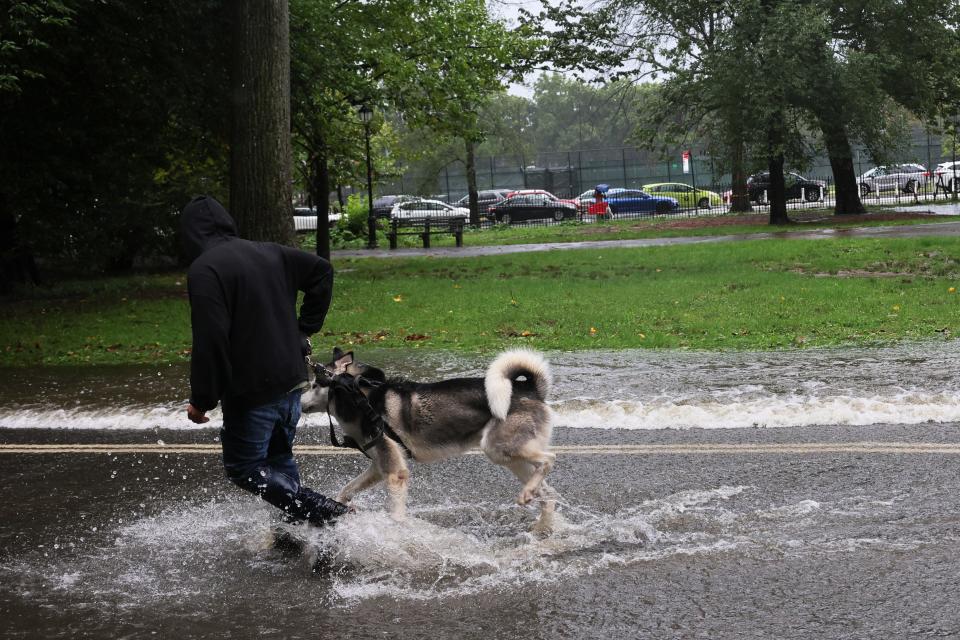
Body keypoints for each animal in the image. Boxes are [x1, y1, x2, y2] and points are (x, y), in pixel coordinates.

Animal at [300, 348, 556, 532]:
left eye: (314, 385)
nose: (298, 401)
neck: (363, 398)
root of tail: (529, 388)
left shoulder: (395, 473)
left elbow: (396, 514)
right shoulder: (378, 467)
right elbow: (347, 489)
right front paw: (337, 506)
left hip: (497, 448)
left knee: (549, 458)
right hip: (509, 458)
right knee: (548, 494)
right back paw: (542, 526)